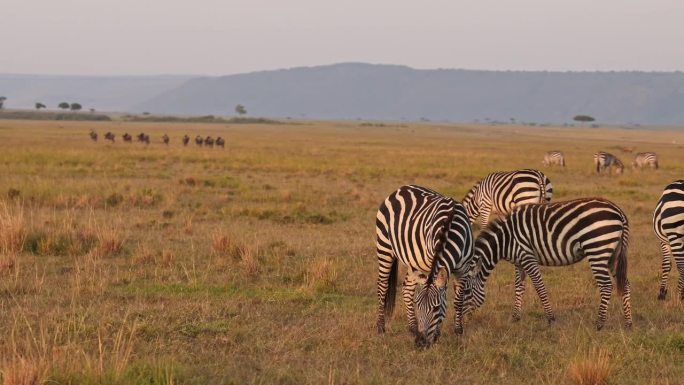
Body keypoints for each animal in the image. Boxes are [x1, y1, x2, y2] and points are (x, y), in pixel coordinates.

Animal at [374, 184, 476, 346]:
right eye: (418, 305)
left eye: (436, 308)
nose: (420, 342)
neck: (449, 228)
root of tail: (400, 189)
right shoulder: (431, 263)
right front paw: (438, 334)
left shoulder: (463, 269)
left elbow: (458, 300)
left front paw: (458, 331)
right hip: (384, 247)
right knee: (382, 285)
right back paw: (381, 328)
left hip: (414, 261)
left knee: (407, 287)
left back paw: (412, 328)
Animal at [462, 196, 632, 328]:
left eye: (466, 292)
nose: (462, 322)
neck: (505, 239)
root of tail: (619, 211)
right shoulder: (519, 261)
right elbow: (518, 286)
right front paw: (515, 317)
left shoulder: (527, 257)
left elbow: (539, 287)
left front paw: (551, 319)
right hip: (613, 254)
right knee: (625, 284)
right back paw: (628, 323)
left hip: (597, 249)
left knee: (606, 285)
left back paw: (599, 324)